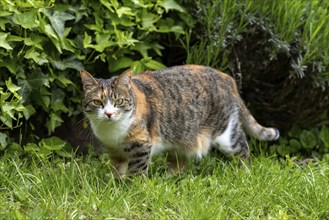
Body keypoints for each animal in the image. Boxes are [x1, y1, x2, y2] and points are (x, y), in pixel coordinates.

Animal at [80, 64, 278, 178]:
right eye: (98, 102)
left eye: (118, 102)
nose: (108, 114)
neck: (112, 132)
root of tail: (227, 78)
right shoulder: (114, 150)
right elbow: (117, 169)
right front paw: (116, 185)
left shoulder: (141, 145)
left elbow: (136, 171)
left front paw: (131, 190)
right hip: (181, 139)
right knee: (178, 161)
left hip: (226, 133)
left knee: (243, 148)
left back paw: (244, 174)